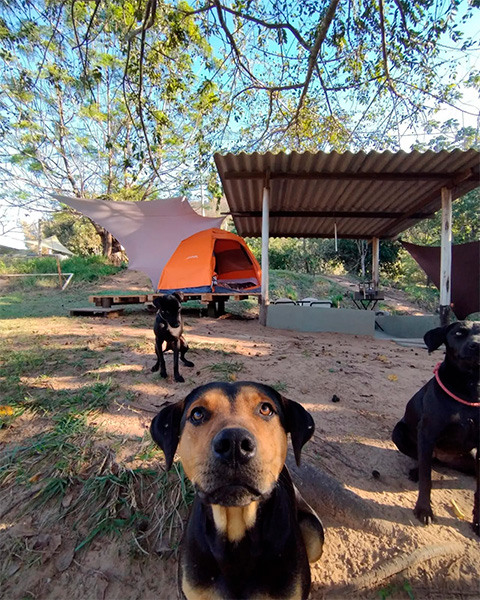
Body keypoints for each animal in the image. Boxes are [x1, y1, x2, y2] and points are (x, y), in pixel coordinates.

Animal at [394, 318, 480, 536]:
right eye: (458, 333)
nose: (476, 345)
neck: (469, 389)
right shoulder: (427, 433)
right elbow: (426, 479)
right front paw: (424, 510)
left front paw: (477, 523)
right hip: (399, 434)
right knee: (426, 461)